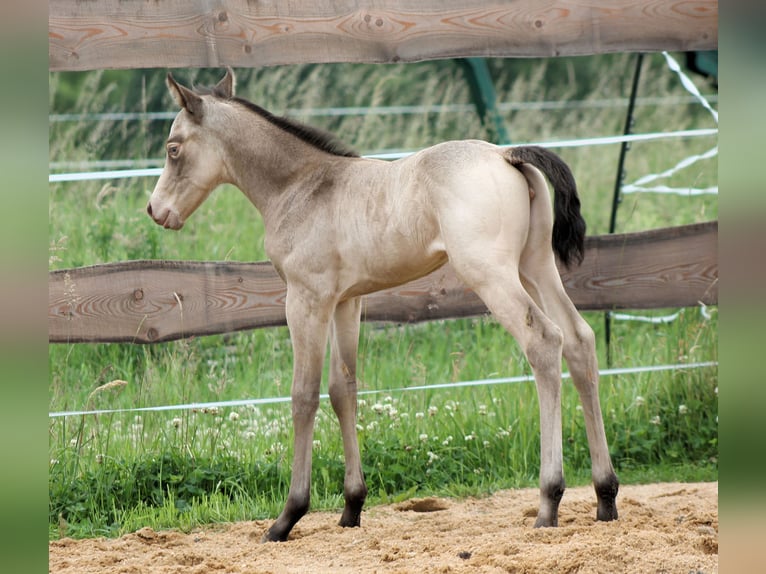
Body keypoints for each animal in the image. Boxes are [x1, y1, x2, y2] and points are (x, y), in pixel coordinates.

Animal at [147, 68, 620, 544]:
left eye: (173, 148)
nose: (155, 210)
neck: (303, 186)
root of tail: (505, 154)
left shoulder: (306, 299)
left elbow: (303, 395)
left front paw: (287, 516)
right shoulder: (345, 301)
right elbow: (343, 389)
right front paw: (352, 506)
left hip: (492, 273)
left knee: (543, 341)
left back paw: (548, 501)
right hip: (535, 266)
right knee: (579, 339)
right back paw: (605, 495)